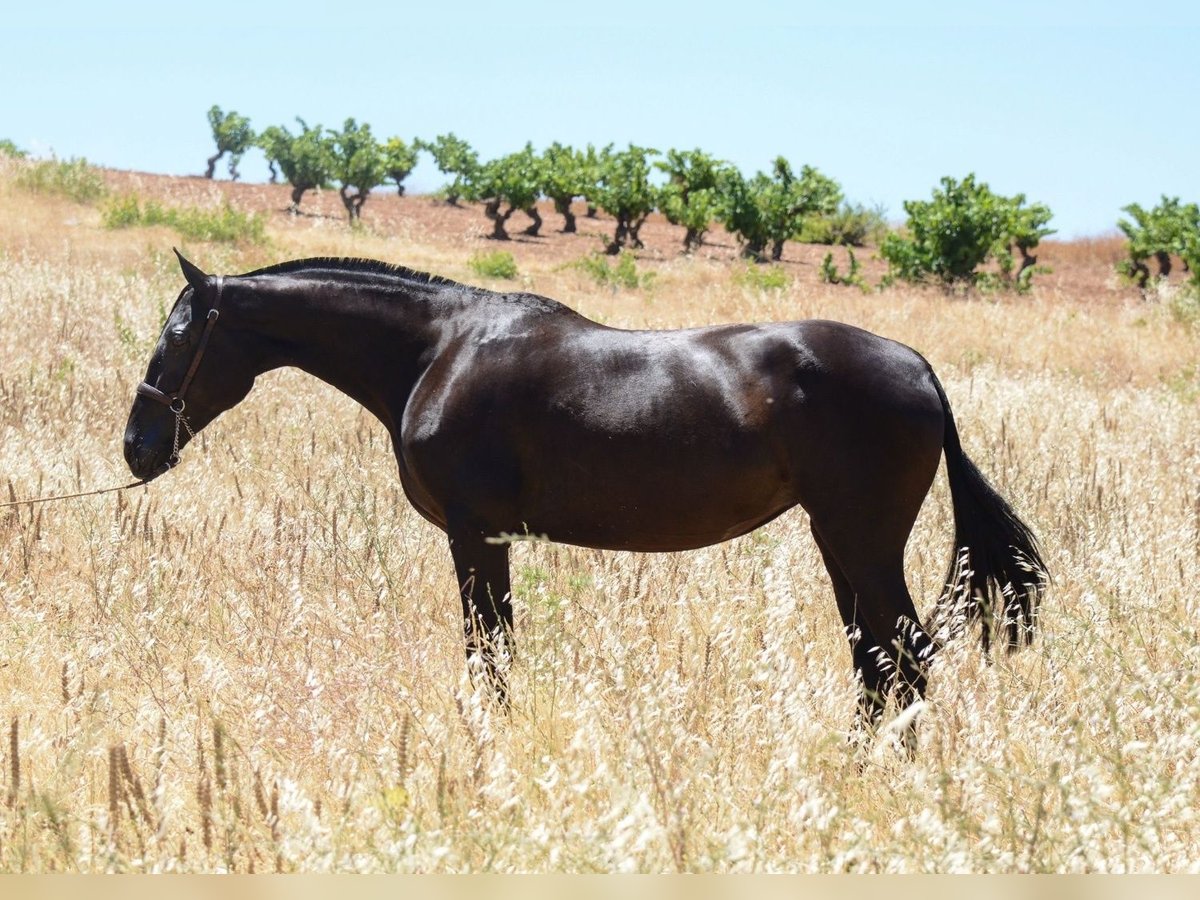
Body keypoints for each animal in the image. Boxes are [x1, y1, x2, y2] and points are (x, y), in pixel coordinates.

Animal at [121, 252, 1041, 739]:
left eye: (177, 339)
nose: (135, 447)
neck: (439, 351)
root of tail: (918, 369)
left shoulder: (477, 536)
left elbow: (489, 650)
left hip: (863, 540)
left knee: (907, 659)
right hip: (837, 541)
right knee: (877, 662)